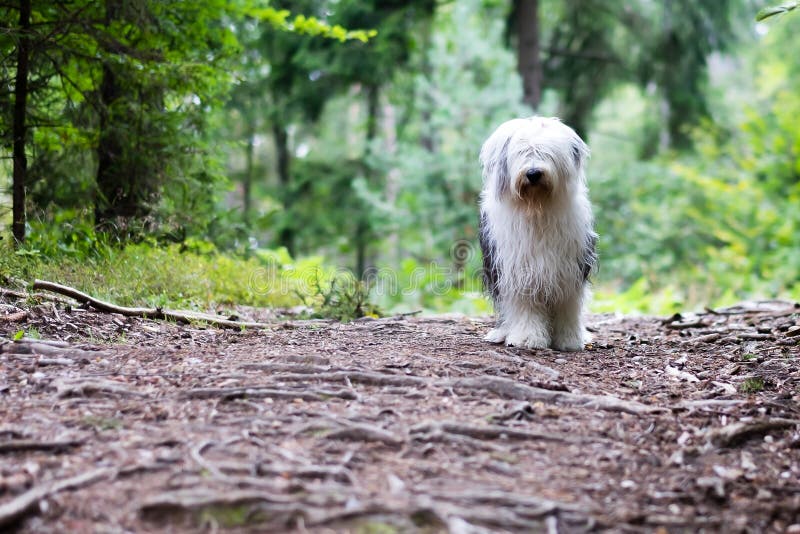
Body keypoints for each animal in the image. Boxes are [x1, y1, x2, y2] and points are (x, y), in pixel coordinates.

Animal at [478, 115, 596, 354]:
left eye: (547, 153)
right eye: (522, 151)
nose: (533, 173)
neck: (536, 207)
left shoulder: (569, 269)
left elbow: (567, 306)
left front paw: (569, 340)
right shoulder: (518, 270)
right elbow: (526, 305)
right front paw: (527, 338)